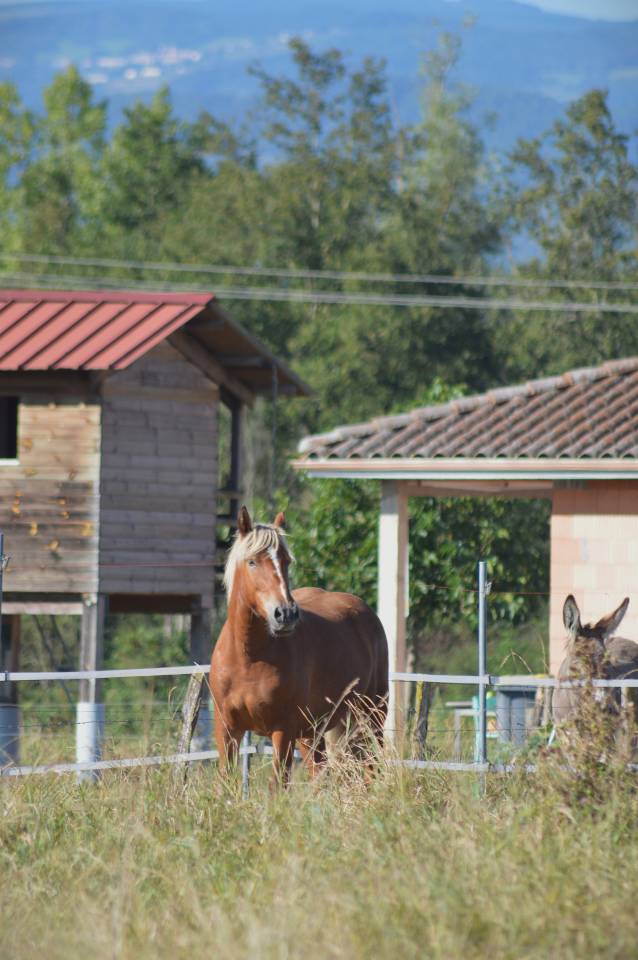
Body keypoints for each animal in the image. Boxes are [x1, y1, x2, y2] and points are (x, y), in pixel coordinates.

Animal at [210, 507, 389, 785]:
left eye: (286, 561)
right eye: (252, 562)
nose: (285, 613)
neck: (248, 658)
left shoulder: (283, 730)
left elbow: (277, 785)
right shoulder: (227, 729)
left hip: (371, 717)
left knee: (371, 769)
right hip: (315, 732)